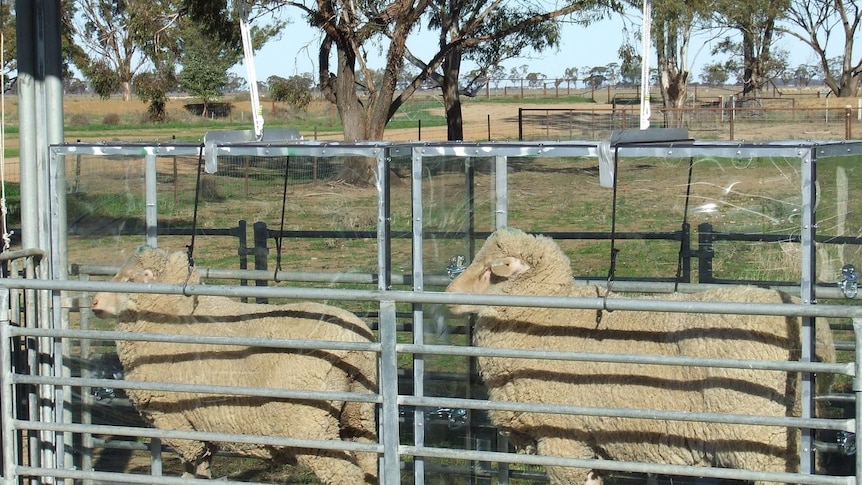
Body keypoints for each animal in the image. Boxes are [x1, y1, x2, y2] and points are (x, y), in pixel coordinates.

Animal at [88, 246, 382, 484]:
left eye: (130, 279)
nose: (94, 302)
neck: (167, 312)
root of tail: (351, 343)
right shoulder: (200, 423)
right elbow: (202, 464)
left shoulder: (175, 420)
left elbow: (192, 462)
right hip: (358, 411)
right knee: (368, 460)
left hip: (307, 424)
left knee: (344, 473)